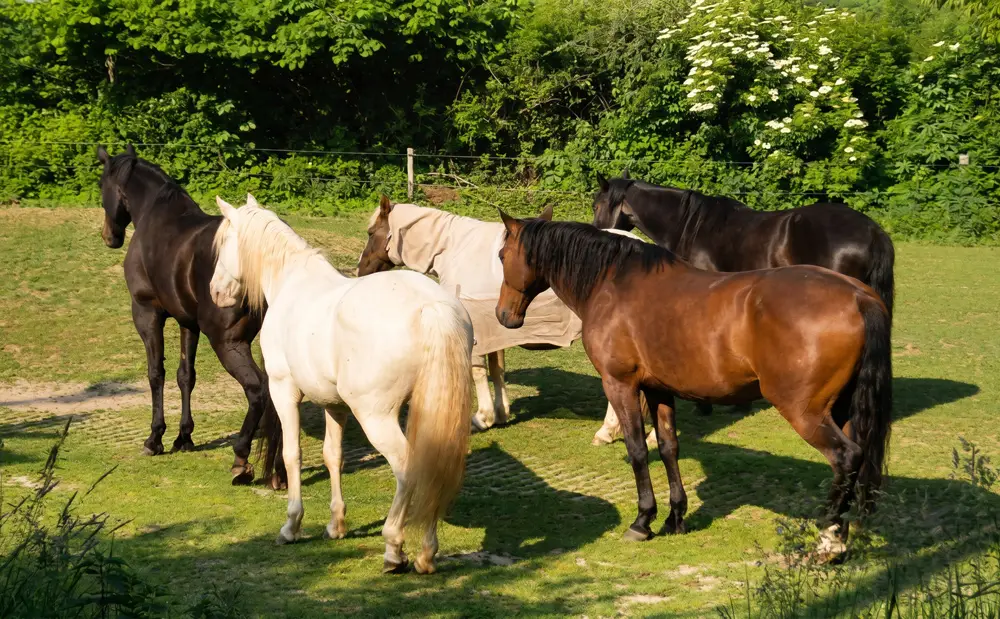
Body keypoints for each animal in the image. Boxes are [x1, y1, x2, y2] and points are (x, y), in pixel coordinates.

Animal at [96, 145, 280, 487]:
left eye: (102, 184)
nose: (109, 237)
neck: (156, 216)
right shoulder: (187, 322)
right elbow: (186, 376)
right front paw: (184, 437)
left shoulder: (146, 313)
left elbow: (156, 373)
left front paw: (155, 439)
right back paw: (280, 471)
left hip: (228, 343)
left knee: (257, 390)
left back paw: (241, 460)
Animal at [210, 195, 472, 574]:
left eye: (225, 243)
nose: (215, 291)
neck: (292, 283)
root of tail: (432, 307)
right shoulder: (334, 405)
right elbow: (333, 456)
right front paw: (336, 525)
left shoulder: (283, 390)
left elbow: (292, 454)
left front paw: (291, 525)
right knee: (433, 465)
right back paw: (426, 553)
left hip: (376, 416)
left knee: (407, 466)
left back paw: (394, 547)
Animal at [358, 197, 645, 439]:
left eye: (371, 233)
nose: (361, 270)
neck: (455, 250)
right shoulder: (495, 330)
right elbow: (497, 370)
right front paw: (500, 412)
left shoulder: (476, 331)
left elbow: (477, 371)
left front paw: (482, 417)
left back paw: (608, 430)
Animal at [495, 207, 892, 552]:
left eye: (500, 256)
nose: (503, 316)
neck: (613, 283)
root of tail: (858, 296)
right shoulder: (659, 389)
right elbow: (669, 447)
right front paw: (674, 518)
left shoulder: (620, 384)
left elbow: (637, 449)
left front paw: (642, 521)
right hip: (842, 409)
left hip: (805, 412)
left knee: (845, 457)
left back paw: (828, 541)